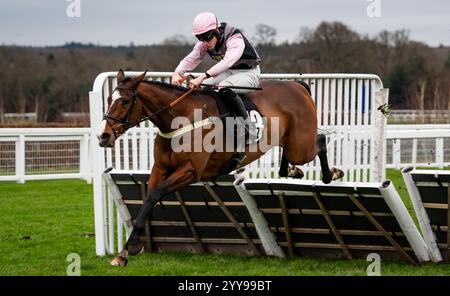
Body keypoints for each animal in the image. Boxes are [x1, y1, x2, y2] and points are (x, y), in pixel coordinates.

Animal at [98, 69, 342, 266]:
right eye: (109, 98)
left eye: (125, 101)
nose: (103, 136)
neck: (181, 119)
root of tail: (296, 85)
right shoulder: (160, 168)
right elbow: (148, 198)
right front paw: (124, 252)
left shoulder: (191, 171)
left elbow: (155, 194)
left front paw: (130, 247)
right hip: (289, 143)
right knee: (288, 160)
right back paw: (292, 171)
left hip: (300, 146)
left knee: (320, 140)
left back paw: (332, 173)